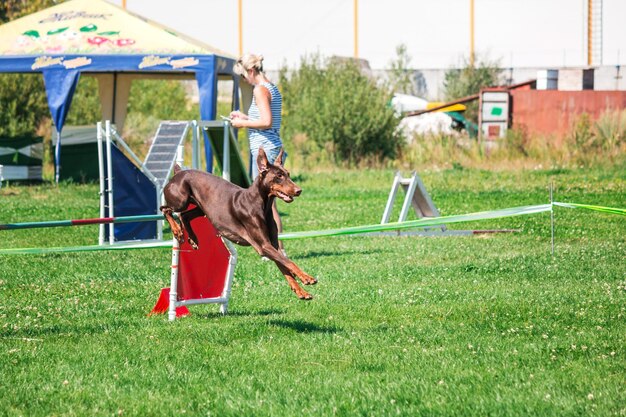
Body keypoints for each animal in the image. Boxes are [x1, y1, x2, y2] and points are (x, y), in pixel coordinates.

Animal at [158, 146, 314, 300]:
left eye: (287, 174)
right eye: (279, 176)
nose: (299, 190)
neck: (261, 205)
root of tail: (179, 172)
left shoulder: (273, 245)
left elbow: (284, 266)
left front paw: (301, 291)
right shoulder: (264, 245)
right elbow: (289, 262)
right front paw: (307, 278)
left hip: (201, 208)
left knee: (185, 216)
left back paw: (193, 238)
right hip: (181, 200)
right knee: (165, 209)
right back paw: (177, 230)